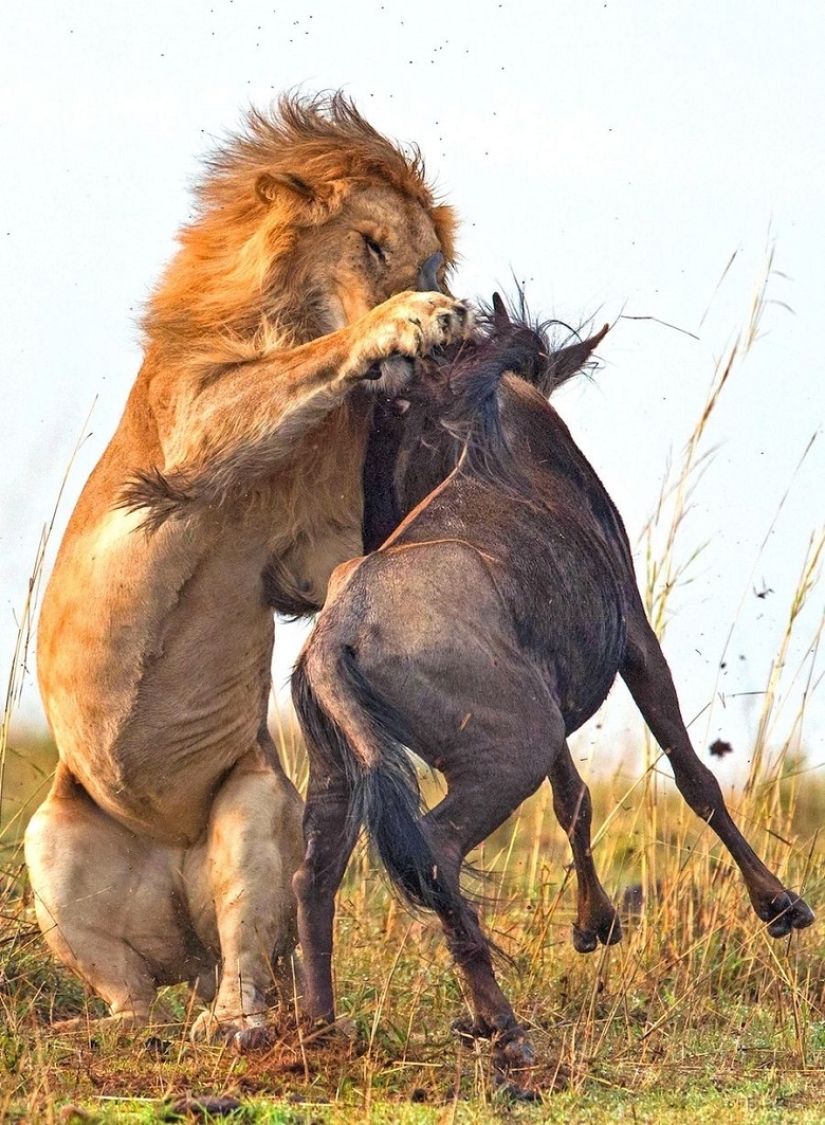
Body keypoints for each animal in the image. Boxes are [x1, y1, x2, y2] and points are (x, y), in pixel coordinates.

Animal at [24, 92, 469, 1045]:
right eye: (371, 244)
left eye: (427, 256)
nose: (436, 293)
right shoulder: (190, 422)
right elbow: (288, 371)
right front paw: (404, 326)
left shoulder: (308, 553)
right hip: (48, 842)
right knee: (126, 983)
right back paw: (120, 1028)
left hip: (256, 803)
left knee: (244, 956)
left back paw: (233, 1021)